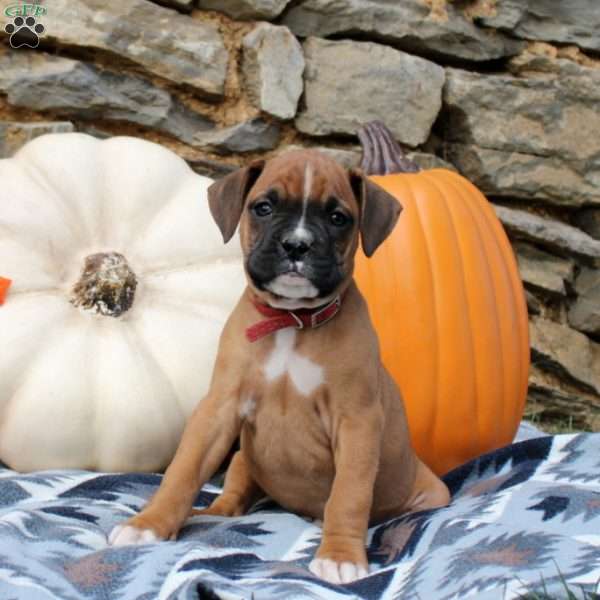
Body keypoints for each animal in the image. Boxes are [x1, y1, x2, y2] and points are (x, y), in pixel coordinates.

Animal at [108, 149, 448, 580]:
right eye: (264, 208)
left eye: (338, 217)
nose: (297, 245)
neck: (292, 321)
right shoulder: (219, 409)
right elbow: (183, 470)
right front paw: (149, 525)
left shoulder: (357, 422)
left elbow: (349, 494)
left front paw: (340, 556)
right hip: (242, 457)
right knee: (235, 494)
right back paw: (215, 513)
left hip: (431, 493)